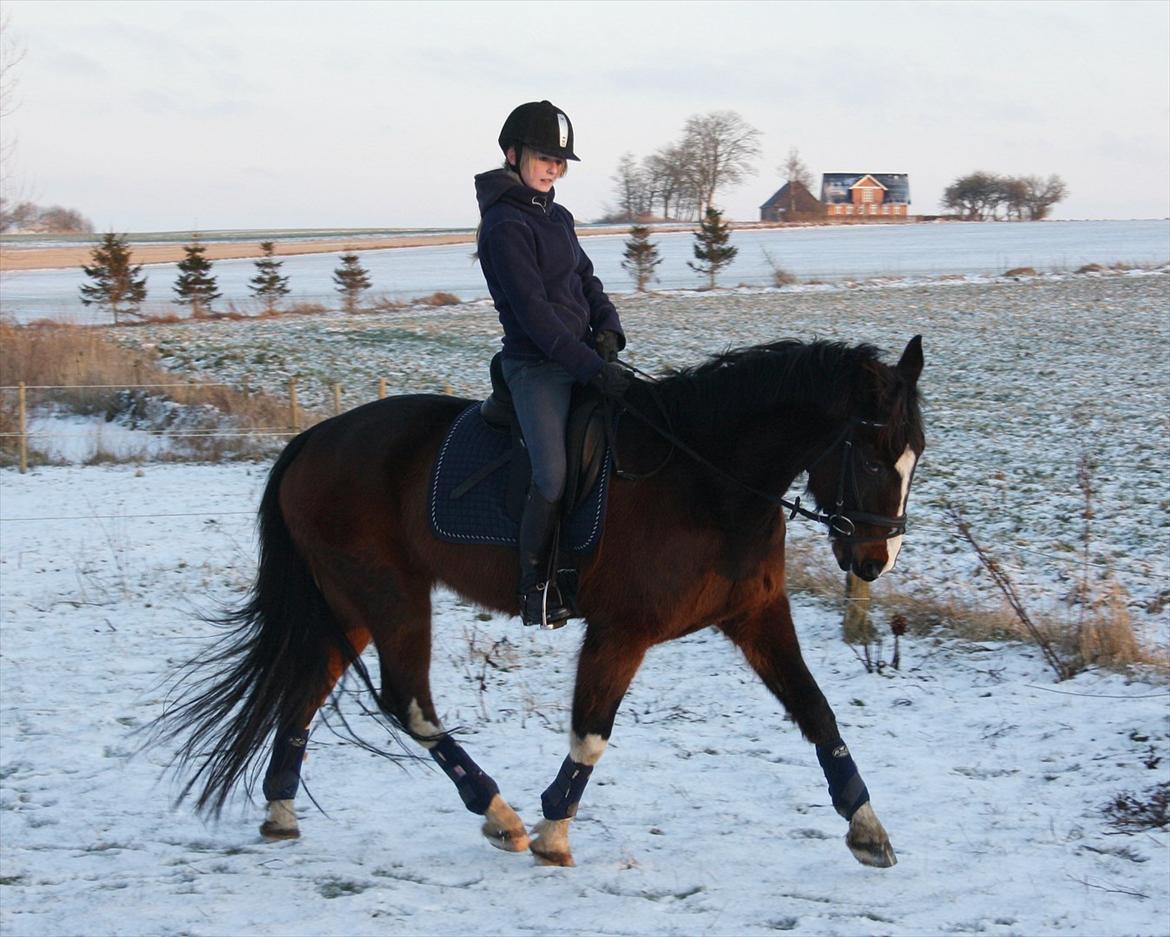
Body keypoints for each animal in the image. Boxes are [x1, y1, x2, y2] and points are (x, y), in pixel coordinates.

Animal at [157, 334, 921, 870]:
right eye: (872, 455)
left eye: (915, 453)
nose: (873, 562)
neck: (708, 480)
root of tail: (314, 438)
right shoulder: (621, 630)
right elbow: (592, 731)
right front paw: (555, 829)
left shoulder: (757, 617)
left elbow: (817, 712)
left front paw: (869, 829)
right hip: (391, 595)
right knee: (407, 701)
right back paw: (499, 815)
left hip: (346, 603)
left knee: (305, 692)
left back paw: (282, 811)